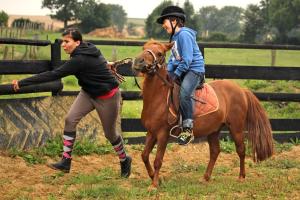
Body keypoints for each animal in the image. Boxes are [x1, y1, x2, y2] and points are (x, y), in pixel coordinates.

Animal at [132, 39, 274, 188]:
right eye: (144, 48)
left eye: (160, 53)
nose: (138, 62)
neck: (158, 97)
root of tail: (241, 90)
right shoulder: (151, 132)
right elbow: (144, 155)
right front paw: (153, 177)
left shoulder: (162, 134)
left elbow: (158, 160)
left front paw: (154, 185)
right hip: (214, 130)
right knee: (215, 152)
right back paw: (205, 177)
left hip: (236, 128)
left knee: (241, 149)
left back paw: (241, 176)